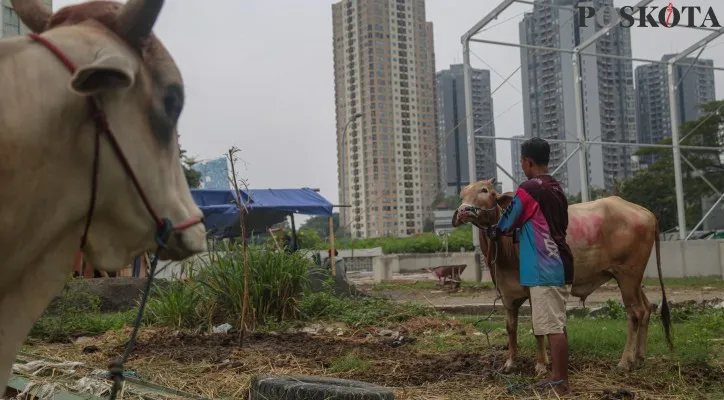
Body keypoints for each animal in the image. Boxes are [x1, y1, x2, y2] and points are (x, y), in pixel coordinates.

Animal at [452, 178, 672, 376]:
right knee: (647, 308)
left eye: (484, 190)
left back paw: (625, 362)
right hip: (633, 280)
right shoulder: (507, 294)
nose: (463, 211)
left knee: (635, 313)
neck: (505, 245)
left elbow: (537, 326)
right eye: (462, 195)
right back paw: (639, 358)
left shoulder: (534, 290)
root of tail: (646, 213)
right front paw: (510, 363)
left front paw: (541, 365)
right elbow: (511, 327)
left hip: (627, 276)